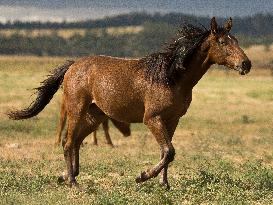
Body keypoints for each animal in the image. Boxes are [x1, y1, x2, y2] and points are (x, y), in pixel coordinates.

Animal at [7, 17, 251, 189]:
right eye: (222, 42)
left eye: (237, 41)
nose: (246, 64)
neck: (170, 77)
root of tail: (72, 66)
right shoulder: (152, 119)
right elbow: (169, 151)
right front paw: (142, 176)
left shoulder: (172, 120)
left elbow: (168, 152)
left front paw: (164, 184)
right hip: (76, 109)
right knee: (68, 142)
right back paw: (73, 183)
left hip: (94, 116)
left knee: (76, 141)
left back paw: (67, 175)